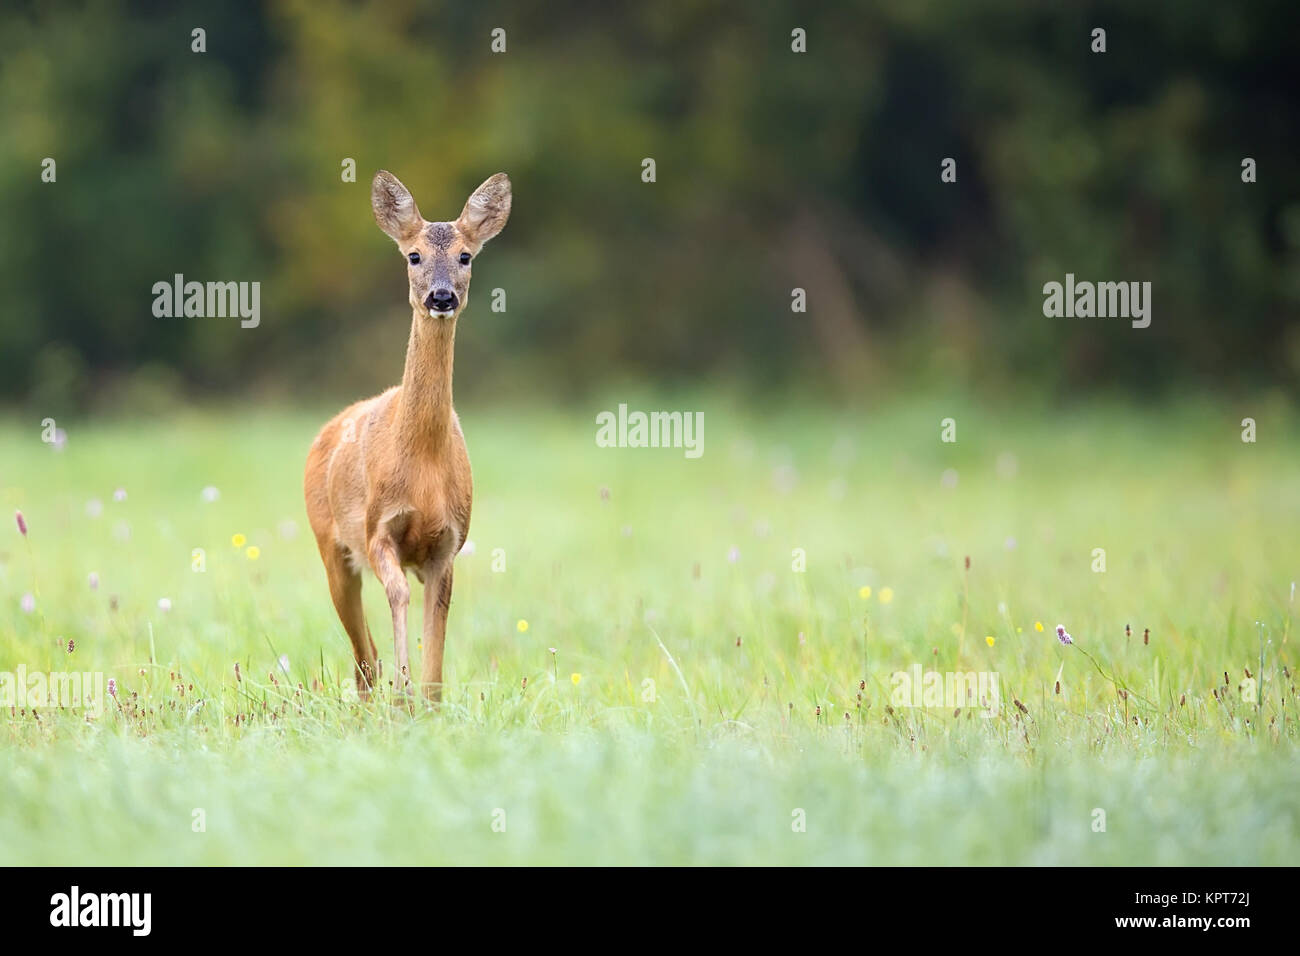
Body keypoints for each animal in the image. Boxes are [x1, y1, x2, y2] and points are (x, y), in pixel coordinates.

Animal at [301, 170, 509, 702]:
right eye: (413, 255)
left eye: (466, 256)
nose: (441, 296)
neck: (423, 465)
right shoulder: (378, 529)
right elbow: (397, 595)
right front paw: (403, 692)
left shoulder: (449, 542)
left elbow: (438, 627)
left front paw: (426, 701)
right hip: (330, 546)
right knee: (362, 654)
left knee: (364, 656)